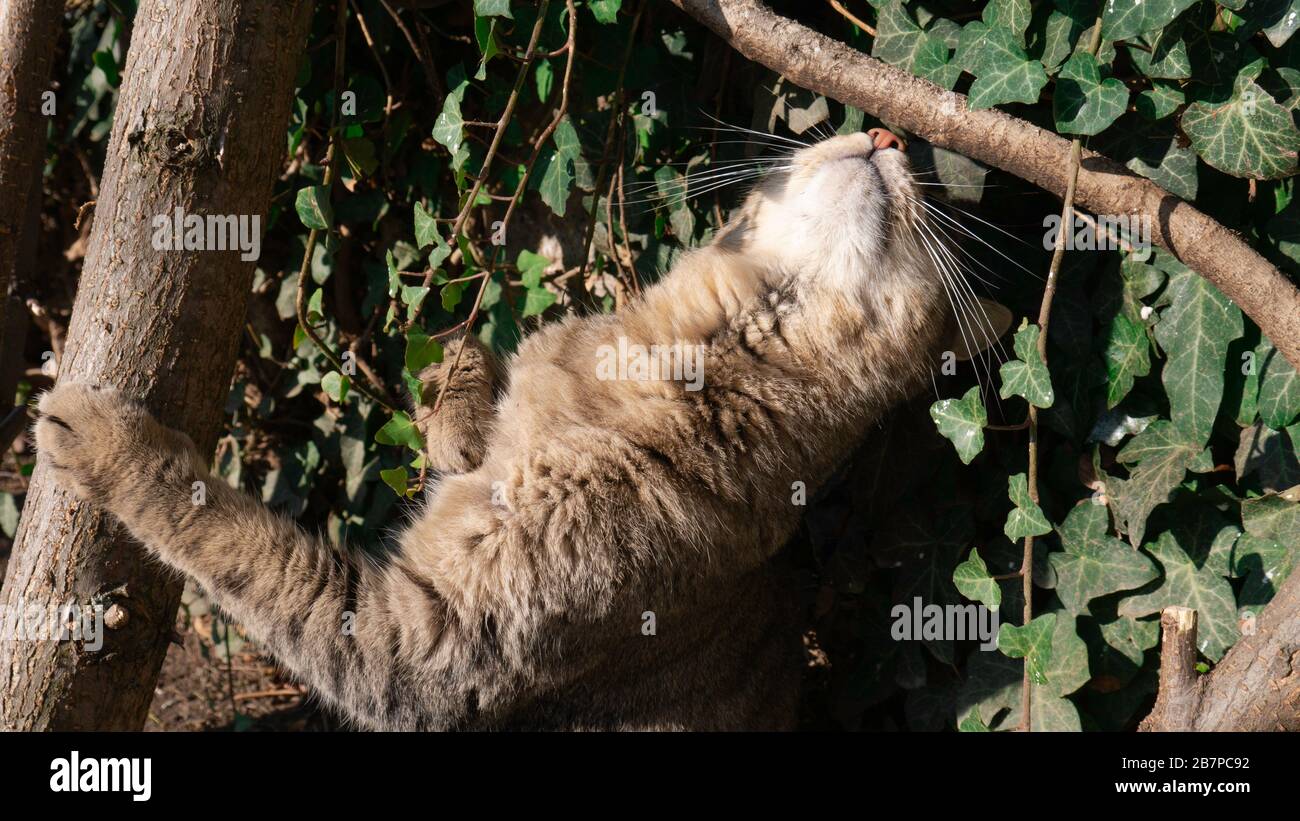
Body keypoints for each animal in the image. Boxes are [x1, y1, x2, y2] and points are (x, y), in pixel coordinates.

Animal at [32, 129, 967, 732]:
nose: (888, 130)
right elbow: (476, 361)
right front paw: (458, 401)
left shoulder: (415, 642)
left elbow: (239, 541)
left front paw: (106, 442)